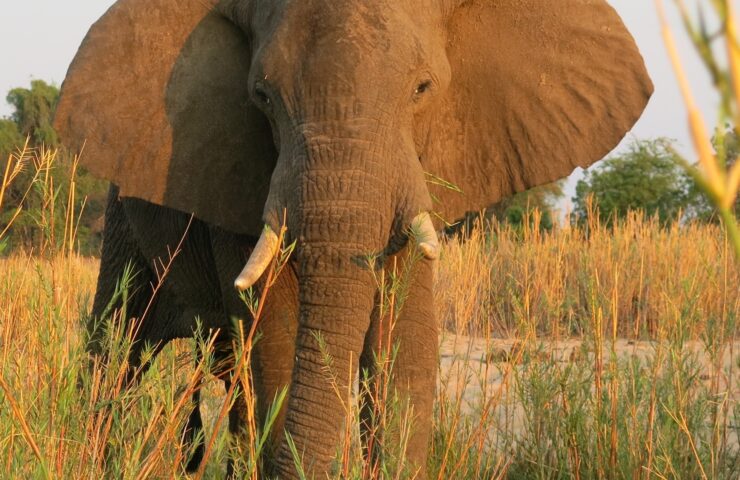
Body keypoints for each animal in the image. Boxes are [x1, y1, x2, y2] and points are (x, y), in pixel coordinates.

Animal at [54, 0, 652, 477]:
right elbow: (275, 338)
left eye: (422, 89)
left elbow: (404, 350)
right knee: (117, 351)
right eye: (262, 97)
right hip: (122, 223)